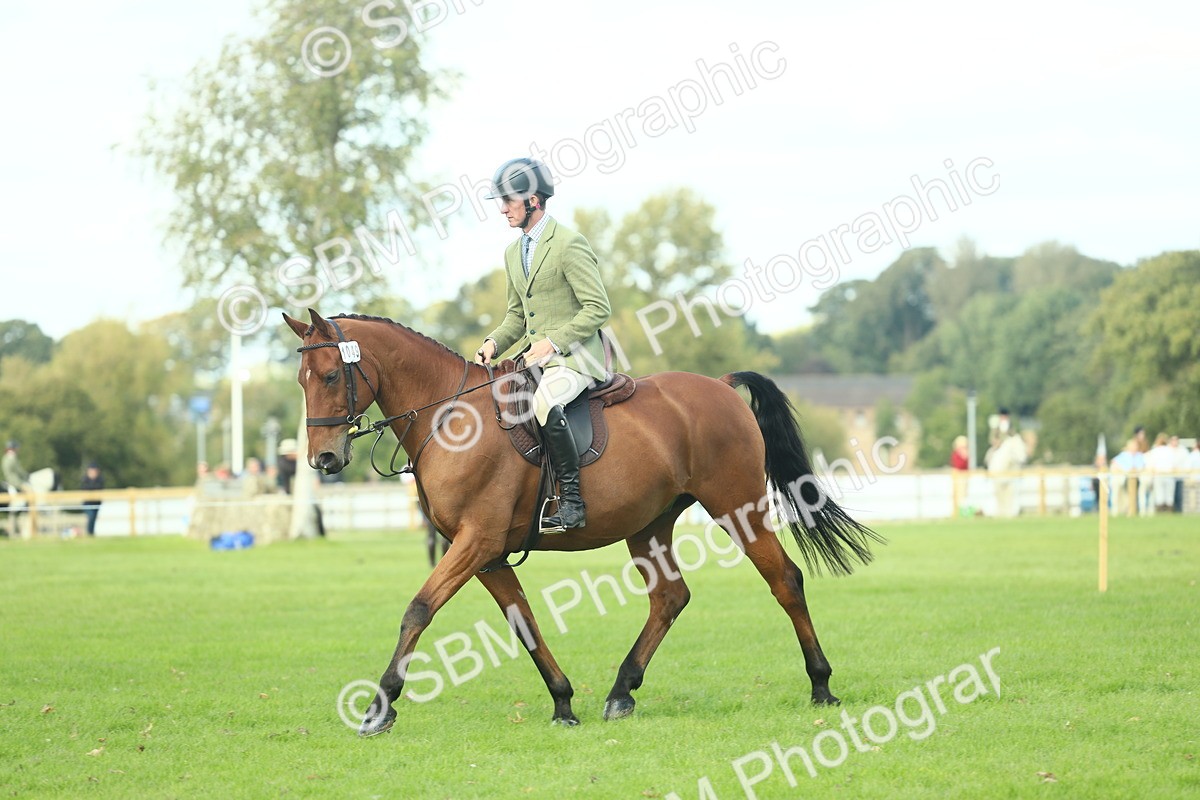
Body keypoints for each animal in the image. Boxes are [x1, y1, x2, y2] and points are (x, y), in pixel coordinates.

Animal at [283, 309, 882, 736]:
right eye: (301, 380)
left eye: (332, 374)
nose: (324, 459)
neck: (448, 417)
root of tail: (718, 385)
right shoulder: (486, 554)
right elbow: (524, 623)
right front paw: (564, 702)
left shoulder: (474, 544)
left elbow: (418, 611)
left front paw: (378, 708)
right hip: (648, 526)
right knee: (670, 597)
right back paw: (621, 691)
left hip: (738, 509)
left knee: (785, 580)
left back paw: (821, 686)